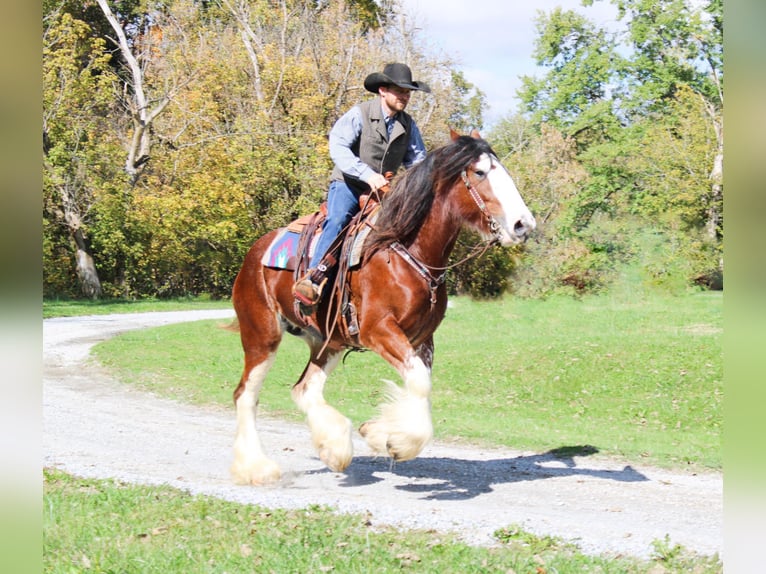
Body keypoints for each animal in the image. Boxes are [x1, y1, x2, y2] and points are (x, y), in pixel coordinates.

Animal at [231, 132, 536, 486]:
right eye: (480, 172)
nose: (523, 224)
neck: (404, 249)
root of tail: (256, 252)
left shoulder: (422, 340)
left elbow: (420, 385)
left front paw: (384, 436)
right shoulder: (379, 330)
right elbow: (419, 383)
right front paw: (394, 441)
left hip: (329, 341)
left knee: (305, 389)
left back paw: (334, 448)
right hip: (262, 335)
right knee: (246, 395)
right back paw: (257, 468)